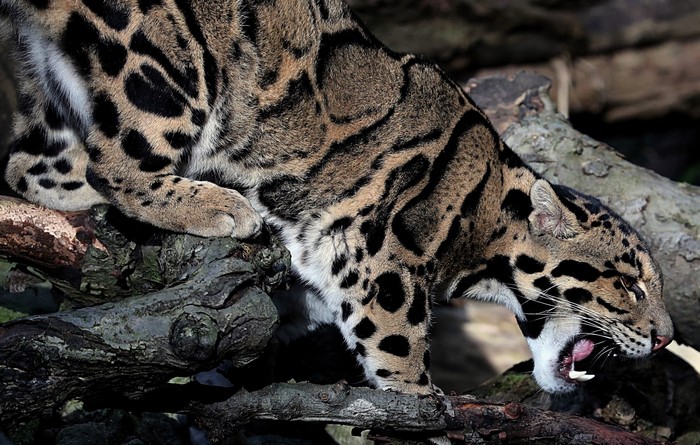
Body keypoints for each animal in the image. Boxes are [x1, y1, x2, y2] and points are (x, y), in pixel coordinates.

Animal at [1, 0, 673, 395]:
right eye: (630, 285)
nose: (667, 339)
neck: (484, 221)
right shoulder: (386, 264)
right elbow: (400, 358)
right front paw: (421, 408)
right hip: (162, 65)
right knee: (116, 163)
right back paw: (220, 205)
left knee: (27, 167)